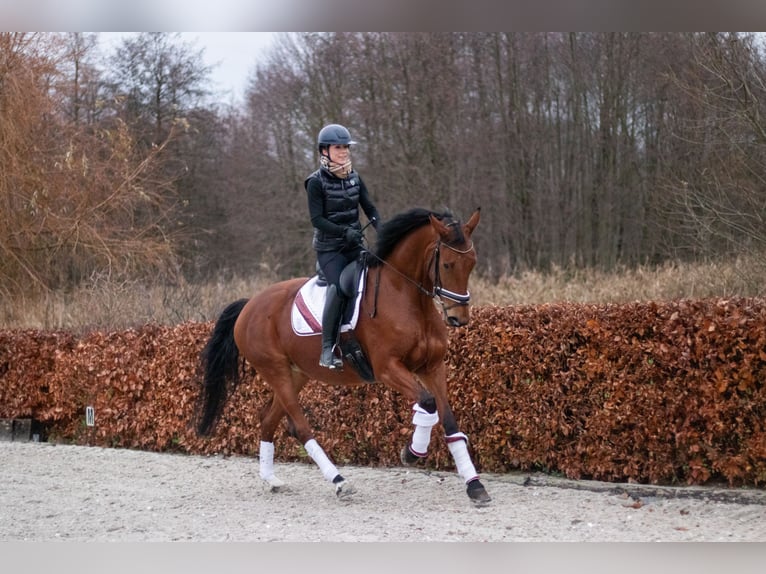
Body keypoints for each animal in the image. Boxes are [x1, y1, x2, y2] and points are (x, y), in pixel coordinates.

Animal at [194, 209, 492, 506]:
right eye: (448, 265)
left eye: (472, 264)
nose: (459, 318)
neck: (406, 296)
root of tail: (250, 304)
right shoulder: (388, 368)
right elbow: (428, 403)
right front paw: (411, 452)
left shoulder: (432, 367)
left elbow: (449, 421)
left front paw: (475, 486)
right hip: (275, 370)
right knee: (300, 426)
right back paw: (339, 481)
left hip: (295, 374)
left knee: (269, 419)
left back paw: (271, 480)